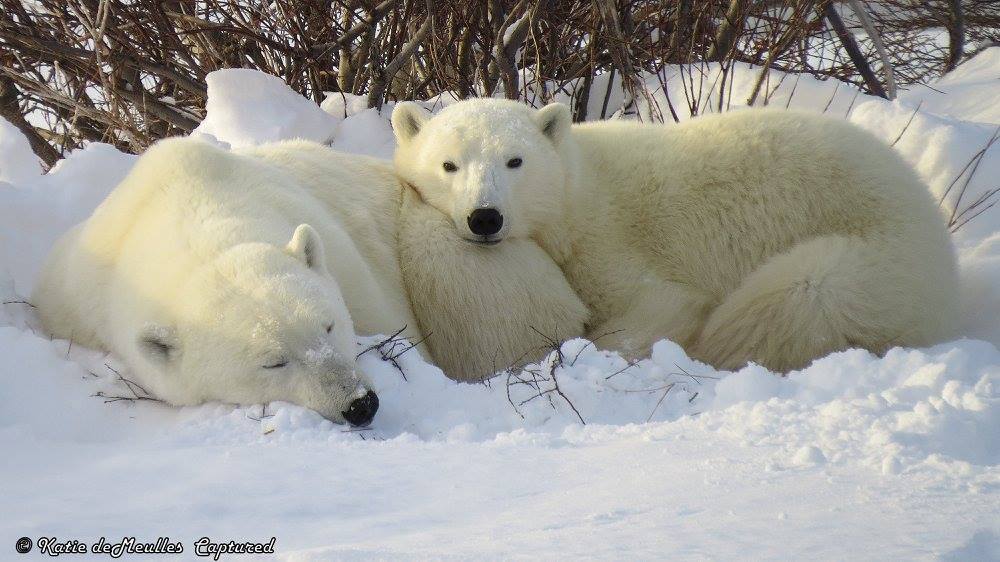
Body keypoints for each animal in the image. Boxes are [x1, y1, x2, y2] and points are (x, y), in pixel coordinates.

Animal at [391, 99, 960, 372]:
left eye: (515, 160)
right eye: (448, 164)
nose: (485, 218)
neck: (576, 195)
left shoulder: (612, 242)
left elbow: (660, 305)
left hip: (878, 254)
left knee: (798, 294)